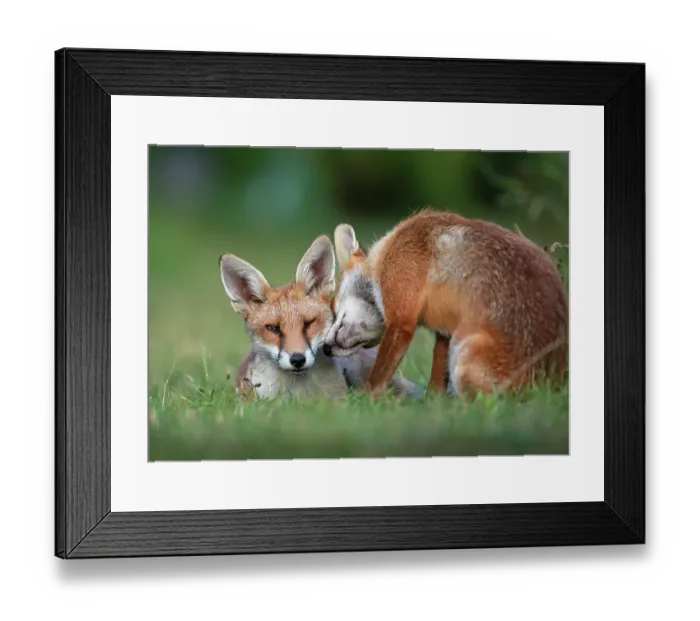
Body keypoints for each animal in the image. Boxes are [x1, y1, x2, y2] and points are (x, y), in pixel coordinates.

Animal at [322, 209, 569, 399]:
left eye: (333, 307)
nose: (324, 348)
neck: (385, 254)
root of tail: (554, 385)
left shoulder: (402, 321)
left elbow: (378, 377)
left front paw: (363, 403)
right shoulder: (444, 335)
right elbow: (435, 385)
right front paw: (432, 409)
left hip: (464, 354)